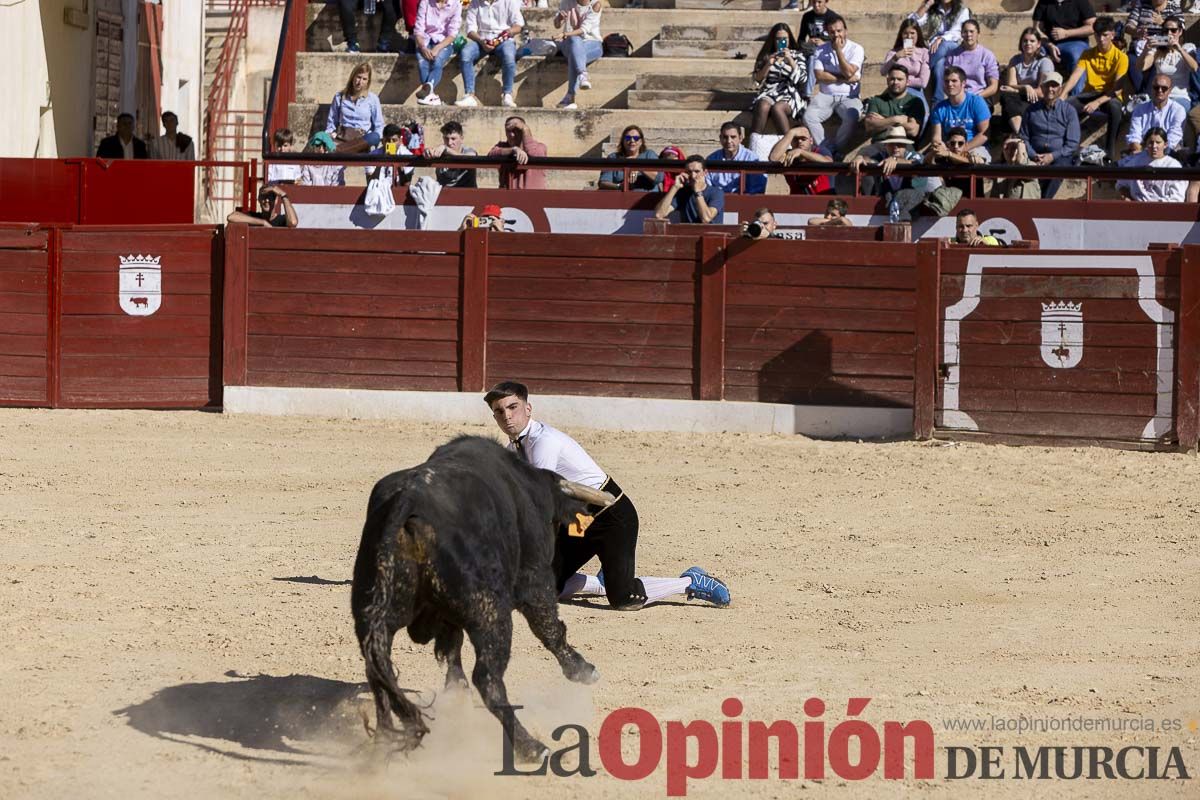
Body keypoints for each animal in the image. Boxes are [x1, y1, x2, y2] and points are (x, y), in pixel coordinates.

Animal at [350, 434, 614, 762]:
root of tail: (408, 502)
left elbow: (451, 650)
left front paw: (456, 697)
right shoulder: (535, 577)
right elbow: (549, 627)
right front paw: (582, 669)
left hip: (373, 615)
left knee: (378, 672)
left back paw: (384, 744)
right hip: (492, 614)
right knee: (488, 678)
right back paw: (532, 747)